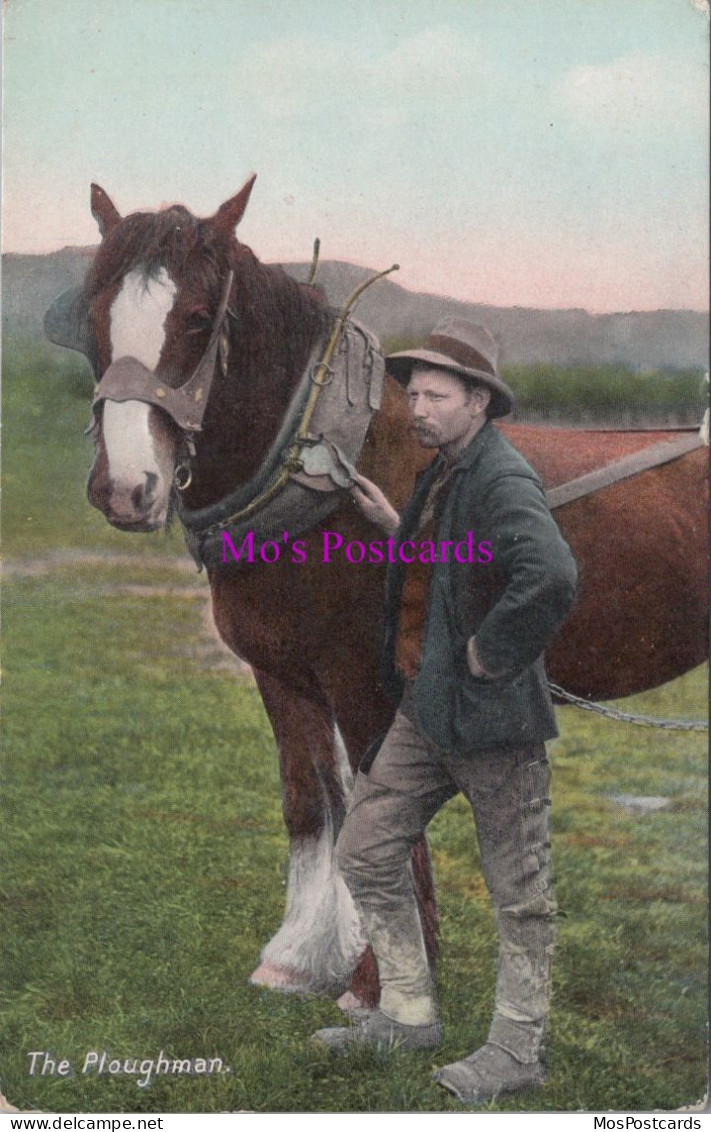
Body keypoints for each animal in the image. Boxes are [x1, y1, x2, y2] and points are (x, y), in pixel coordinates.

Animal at [47, 176, 706, 1009]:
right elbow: (310, 800)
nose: (127, 489)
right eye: (97, 318)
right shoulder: (284, 676)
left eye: (196, 319)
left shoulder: (363, 678)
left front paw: (382, 980)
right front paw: (299, 958)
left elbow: (376, 811)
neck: (321, 472)